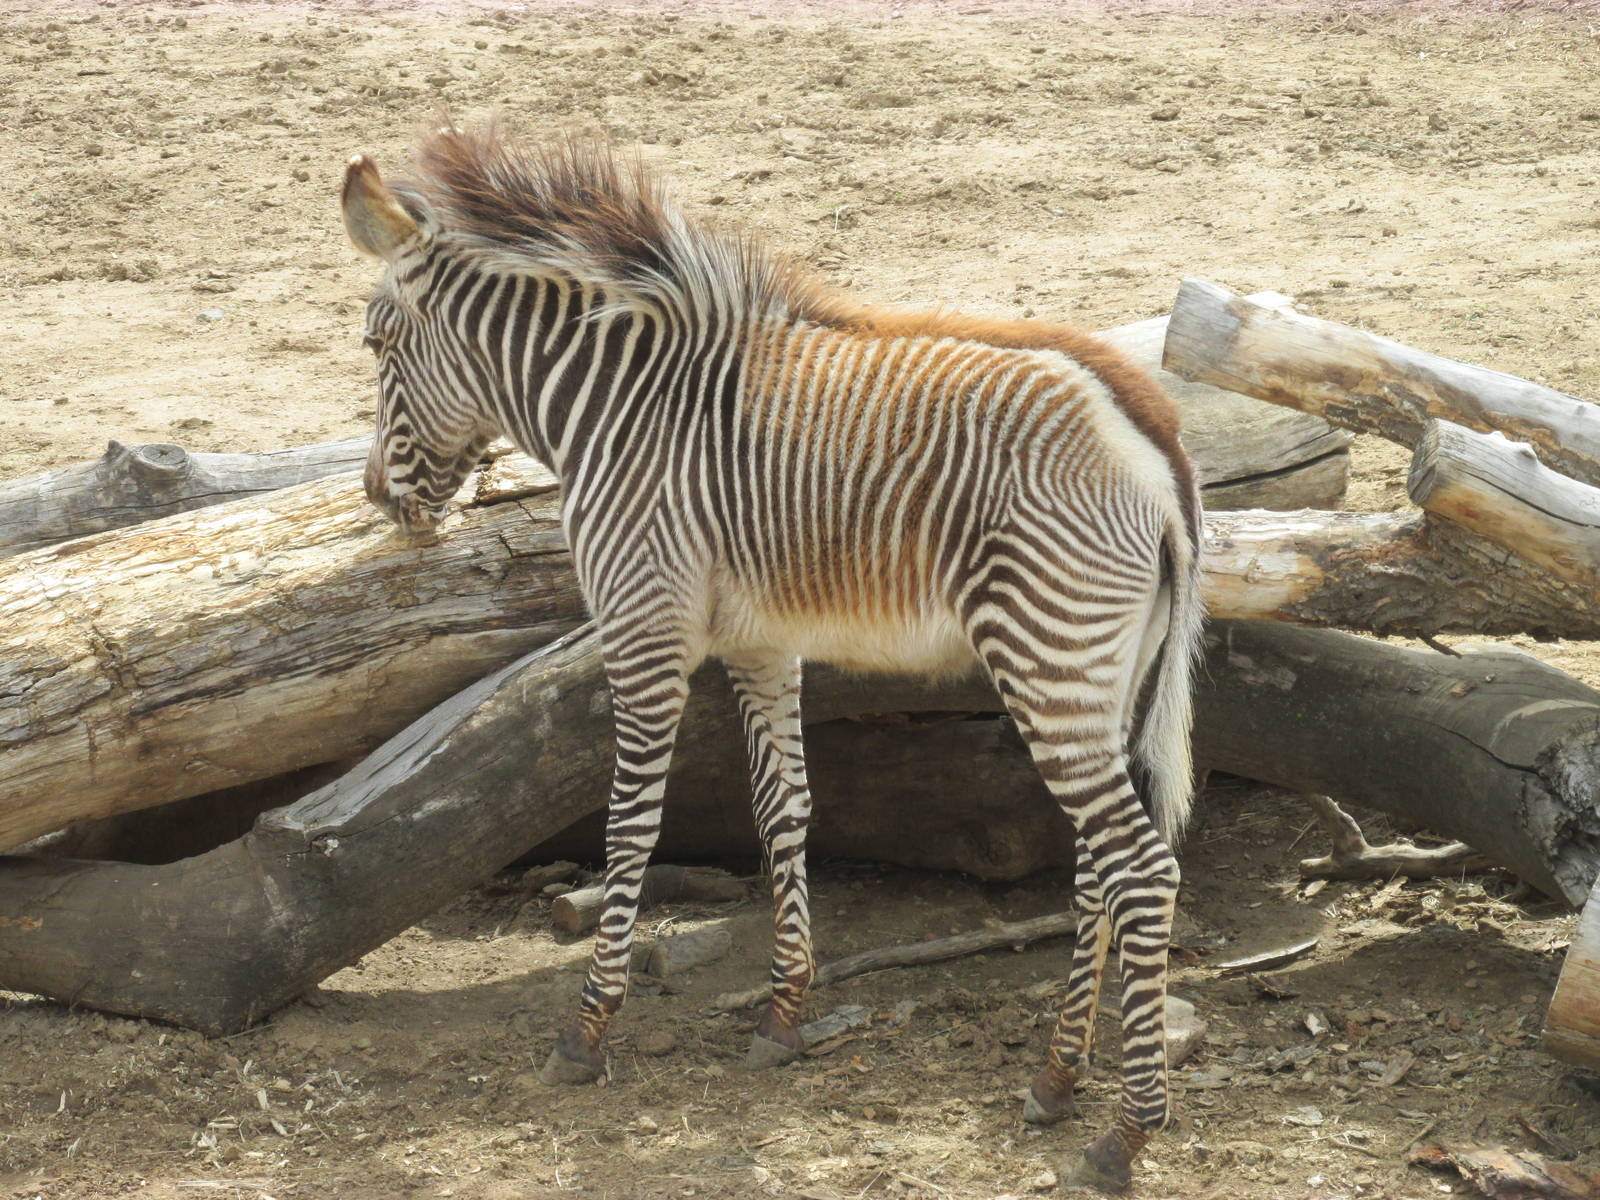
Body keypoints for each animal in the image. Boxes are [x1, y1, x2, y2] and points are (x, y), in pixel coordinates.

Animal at [341, 124, 1203, 1193]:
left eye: (377, 345)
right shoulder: (762, 641)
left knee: (1142, 868)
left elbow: (631, 825)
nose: (379, 500)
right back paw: (1054, 1080)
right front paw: (786, 1014)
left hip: (1048, 651)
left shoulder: (644, 626)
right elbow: (783, 809)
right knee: (1099, 865)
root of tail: (1155, 432)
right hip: (1099, 670)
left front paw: (588, 1033)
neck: (620, 407)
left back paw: (1125, 1132)